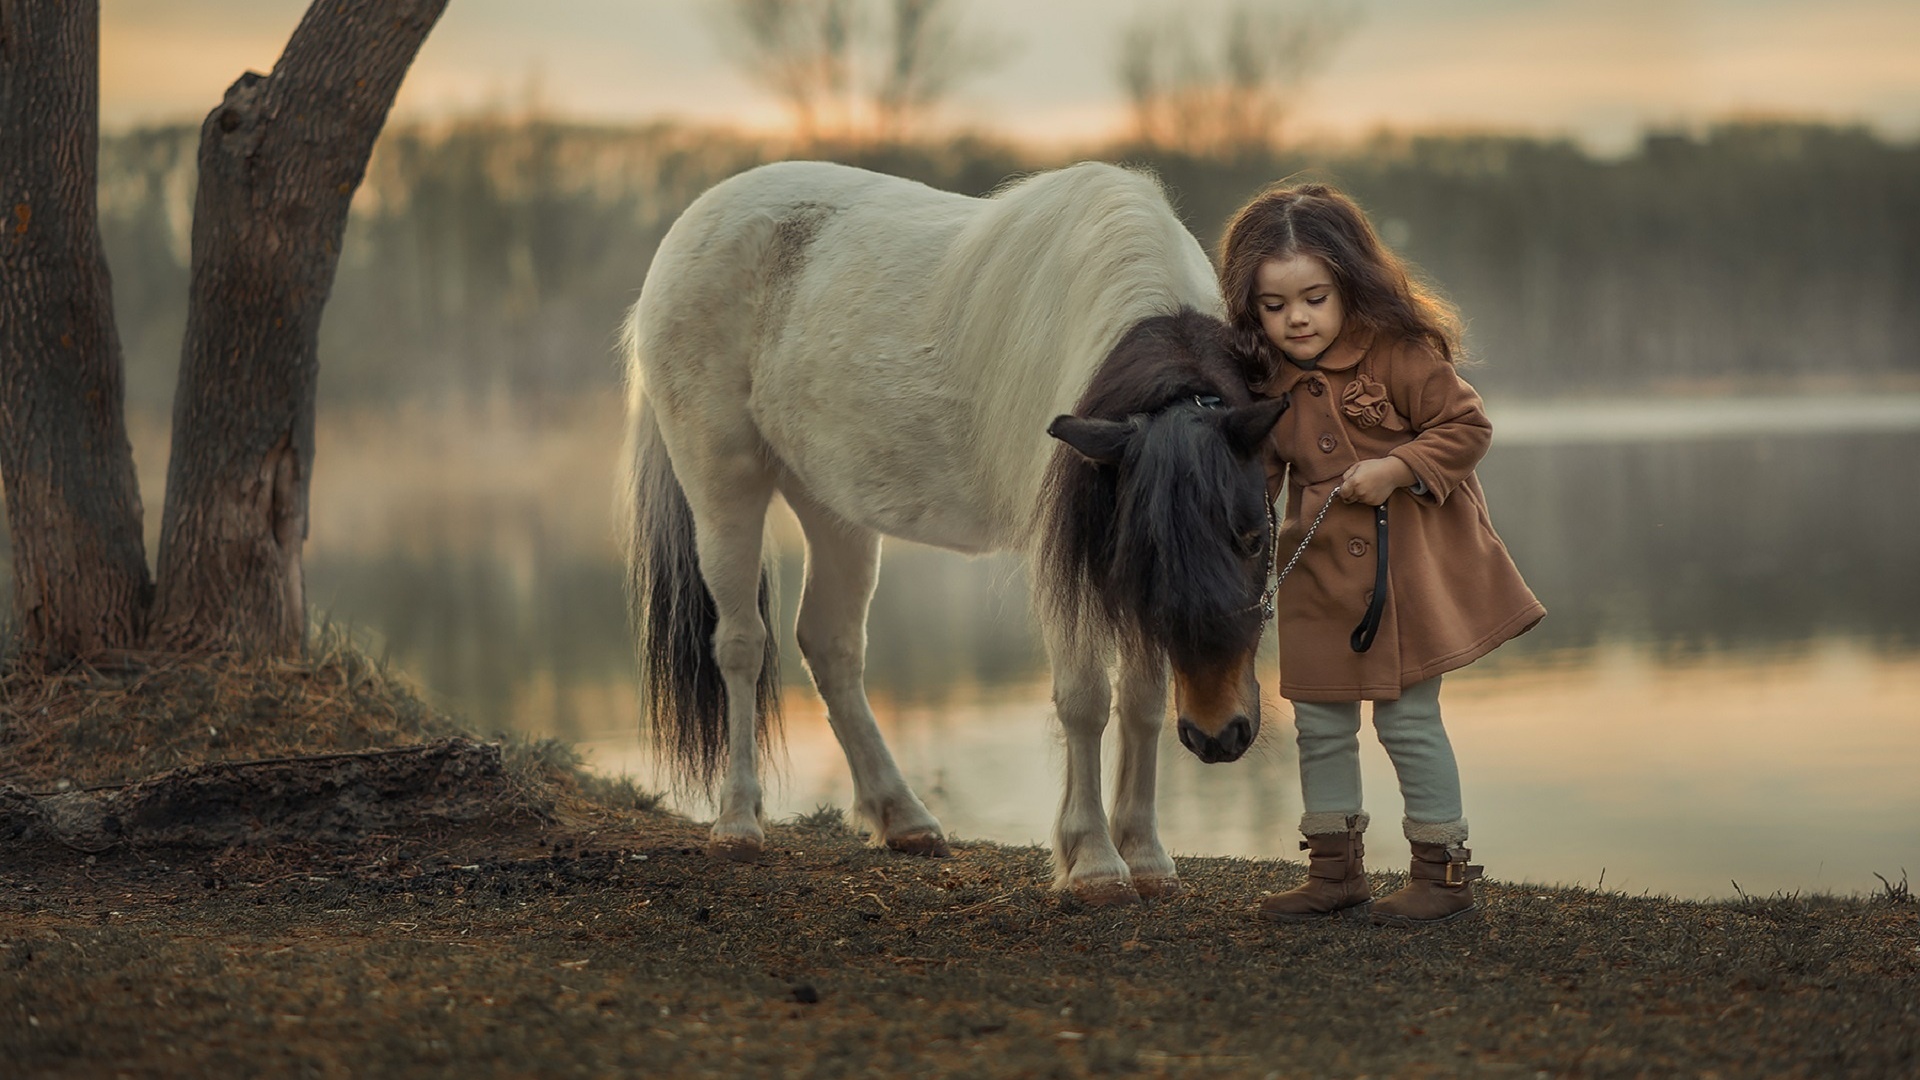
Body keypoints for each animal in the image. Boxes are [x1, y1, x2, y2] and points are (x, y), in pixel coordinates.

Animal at [625, 159, 1290, 899]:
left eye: (1253, 538)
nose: (1218, 735)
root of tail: (696, 220)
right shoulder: (1068, 561)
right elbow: (1085, 700)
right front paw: (1092, 861)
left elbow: (1141, 702)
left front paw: (1145, 856)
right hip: (723, 491)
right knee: (742, 645)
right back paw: (739, 824)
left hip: (832, 508)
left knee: (831, 646)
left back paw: (903, 818)